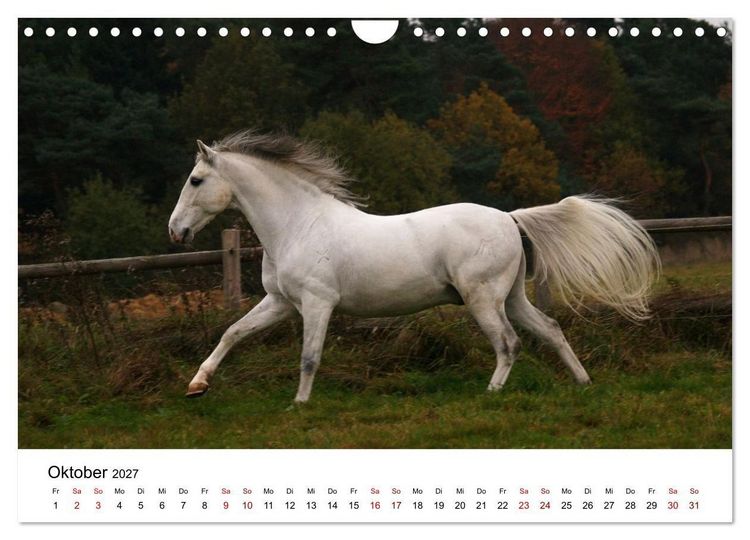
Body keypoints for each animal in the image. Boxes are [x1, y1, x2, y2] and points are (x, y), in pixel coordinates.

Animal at [168, 131, 660, 404]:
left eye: (195, 180)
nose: (176, 231)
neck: (298, 224)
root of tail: (509, 217)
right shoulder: (280, 302)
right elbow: (232, 333)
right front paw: (197, 385)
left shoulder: (317, 303)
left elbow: (309, 357)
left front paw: (300, 404)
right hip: (512, 297)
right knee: (550, 329)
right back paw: (583, 382)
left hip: (483, 298)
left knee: (509, 343)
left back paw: (491, 394)